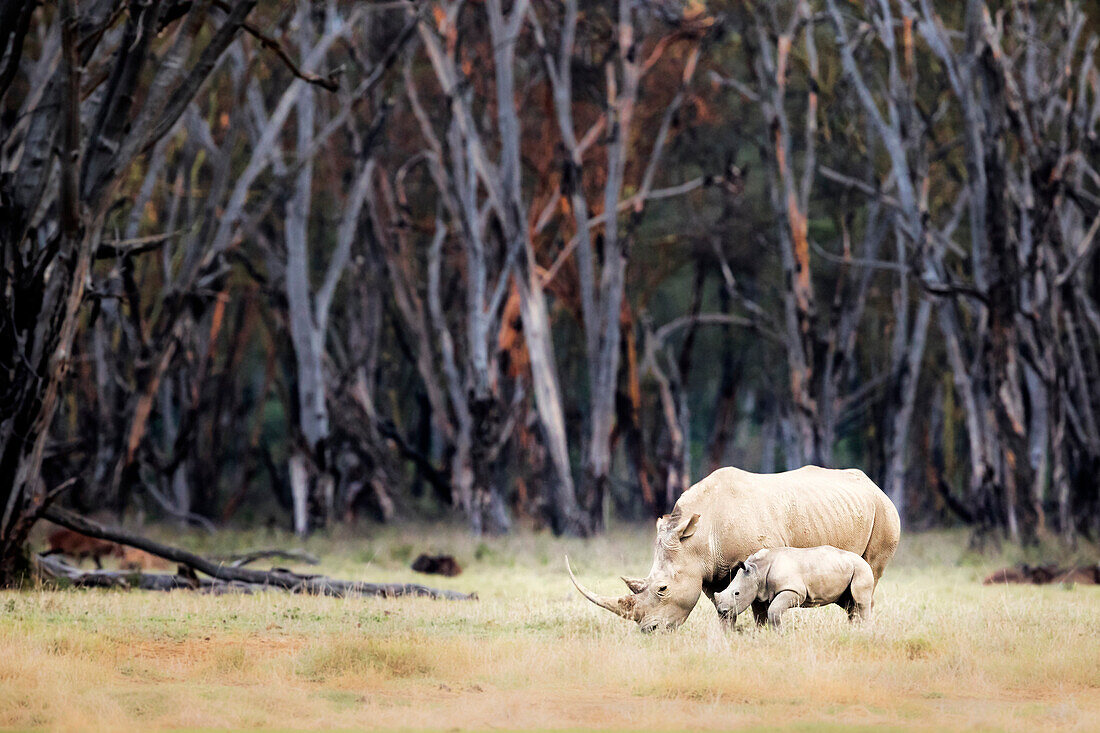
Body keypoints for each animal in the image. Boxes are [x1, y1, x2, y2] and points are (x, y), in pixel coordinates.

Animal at [712, 545, 875, 625]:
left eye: (737, 593)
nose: (721, 611)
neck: (758, 570)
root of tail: (862, 559)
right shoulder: (766, 591)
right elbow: (768, 613)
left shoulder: (794, 591)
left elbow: (774, 611)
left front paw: (780, 636)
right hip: (846, 567)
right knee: (849, 603)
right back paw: (853, 629)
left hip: (862, 568)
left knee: (860, 601)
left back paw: (863, 631)